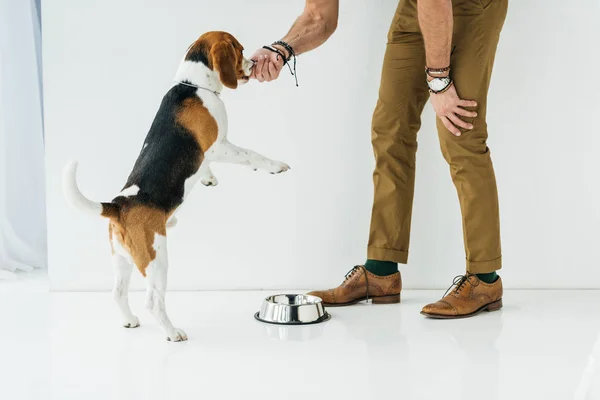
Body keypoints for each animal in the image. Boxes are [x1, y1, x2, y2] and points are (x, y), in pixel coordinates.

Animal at [63, 32, 290, 342]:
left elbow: (204, 165)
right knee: (153, 301)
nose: (254, 62)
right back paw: (172, 332)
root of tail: (118, 205)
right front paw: (273, 165)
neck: (192, 85)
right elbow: (250, 154)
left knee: (117, 292)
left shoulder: (207, 154)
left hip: (122, 259)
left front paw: (208, 177)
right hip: (156, 260)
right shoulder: (218, 146)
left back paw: (129, 320)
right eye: (240, 50)